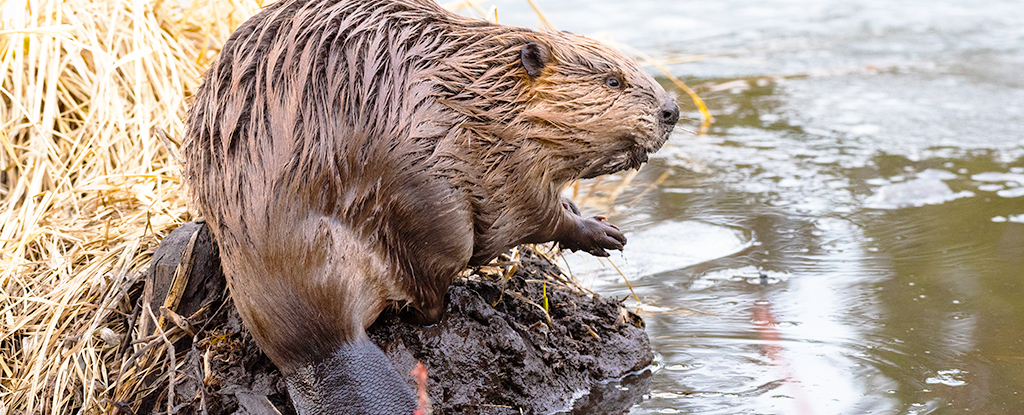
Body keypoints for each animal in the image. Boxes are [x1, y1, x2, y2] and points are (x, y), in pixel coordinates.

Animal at [184, 0, 679, 411]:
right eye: (612, 80)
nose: (672, 109)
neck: (482, 91)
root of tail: (321, 350)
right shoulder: (505, 164)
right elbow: (533, 215)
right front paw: (604, 234)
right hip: (433, 209)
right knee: (428, 295)